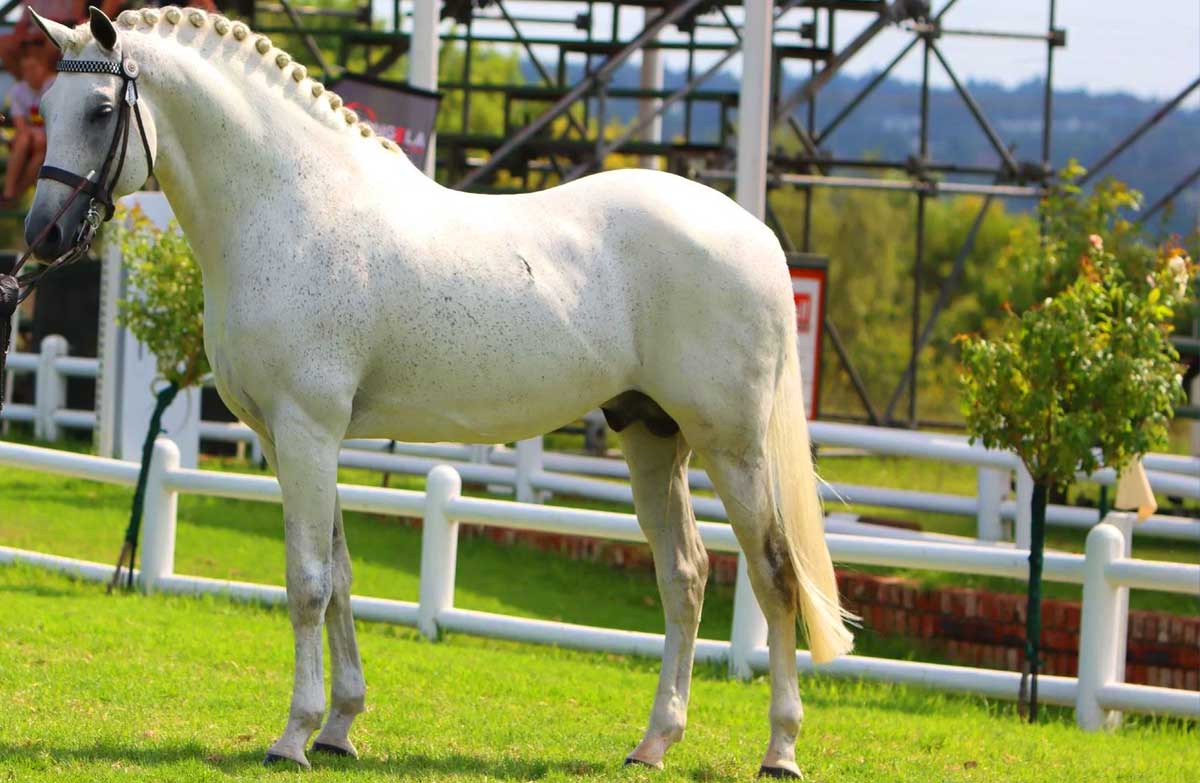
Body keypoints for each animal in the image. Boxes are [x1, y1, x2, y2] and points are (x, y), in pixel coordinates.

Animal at [25, 7, 854, 777]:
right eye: (43, 107)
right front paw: (339, 726)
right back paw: (653, 743)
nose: (41, 235)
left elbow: (306, 583)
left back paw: (780, 748)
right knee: (685, 575)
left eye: (99, 110)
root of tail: (754, 233)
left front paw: (293, 735)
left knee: (775, 575)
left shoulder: (306, 430)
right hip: (652, 435)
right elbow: (342, 579)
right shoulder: (295, 440)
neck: (294, 206)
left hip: (733, 446)